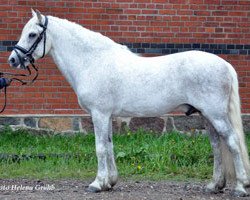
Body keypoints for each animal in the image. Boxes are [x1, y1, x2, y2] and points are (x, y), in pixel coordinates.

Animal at [7, 10, 250, 196]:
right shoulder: (106, 116)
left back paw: (240, 187)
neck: (93, 62)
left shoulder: (99, 114)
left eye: (32, 34)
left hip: (216, 115)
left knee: (232, 143)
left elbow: (100, 148)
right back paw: (214, 185)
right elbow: (109, 145)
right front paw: (110, 182)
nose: (13, 59)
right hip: (206, 116)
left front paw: (97, 183)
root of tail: (225, 65)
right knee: (217, 146)